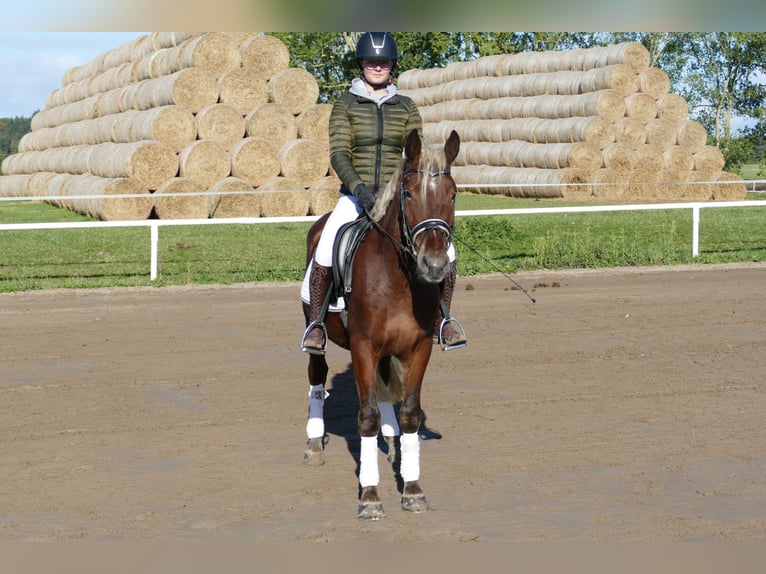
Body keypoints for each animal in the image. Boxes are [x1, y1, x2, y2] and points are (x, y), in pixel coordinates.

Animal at [302, 129, 460, 520]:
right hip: (317, 338)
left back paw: (391, 443)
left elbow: (410, 414)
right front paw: (370, 496)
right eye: (408, 193)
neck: (398, 280)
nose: (434, 264)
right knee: (317, 378)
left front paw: (413, 488)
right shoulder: (362, 348)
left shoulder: (419, 348)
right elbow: (367, 417)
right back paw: (314, 445)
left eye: (452, 194)